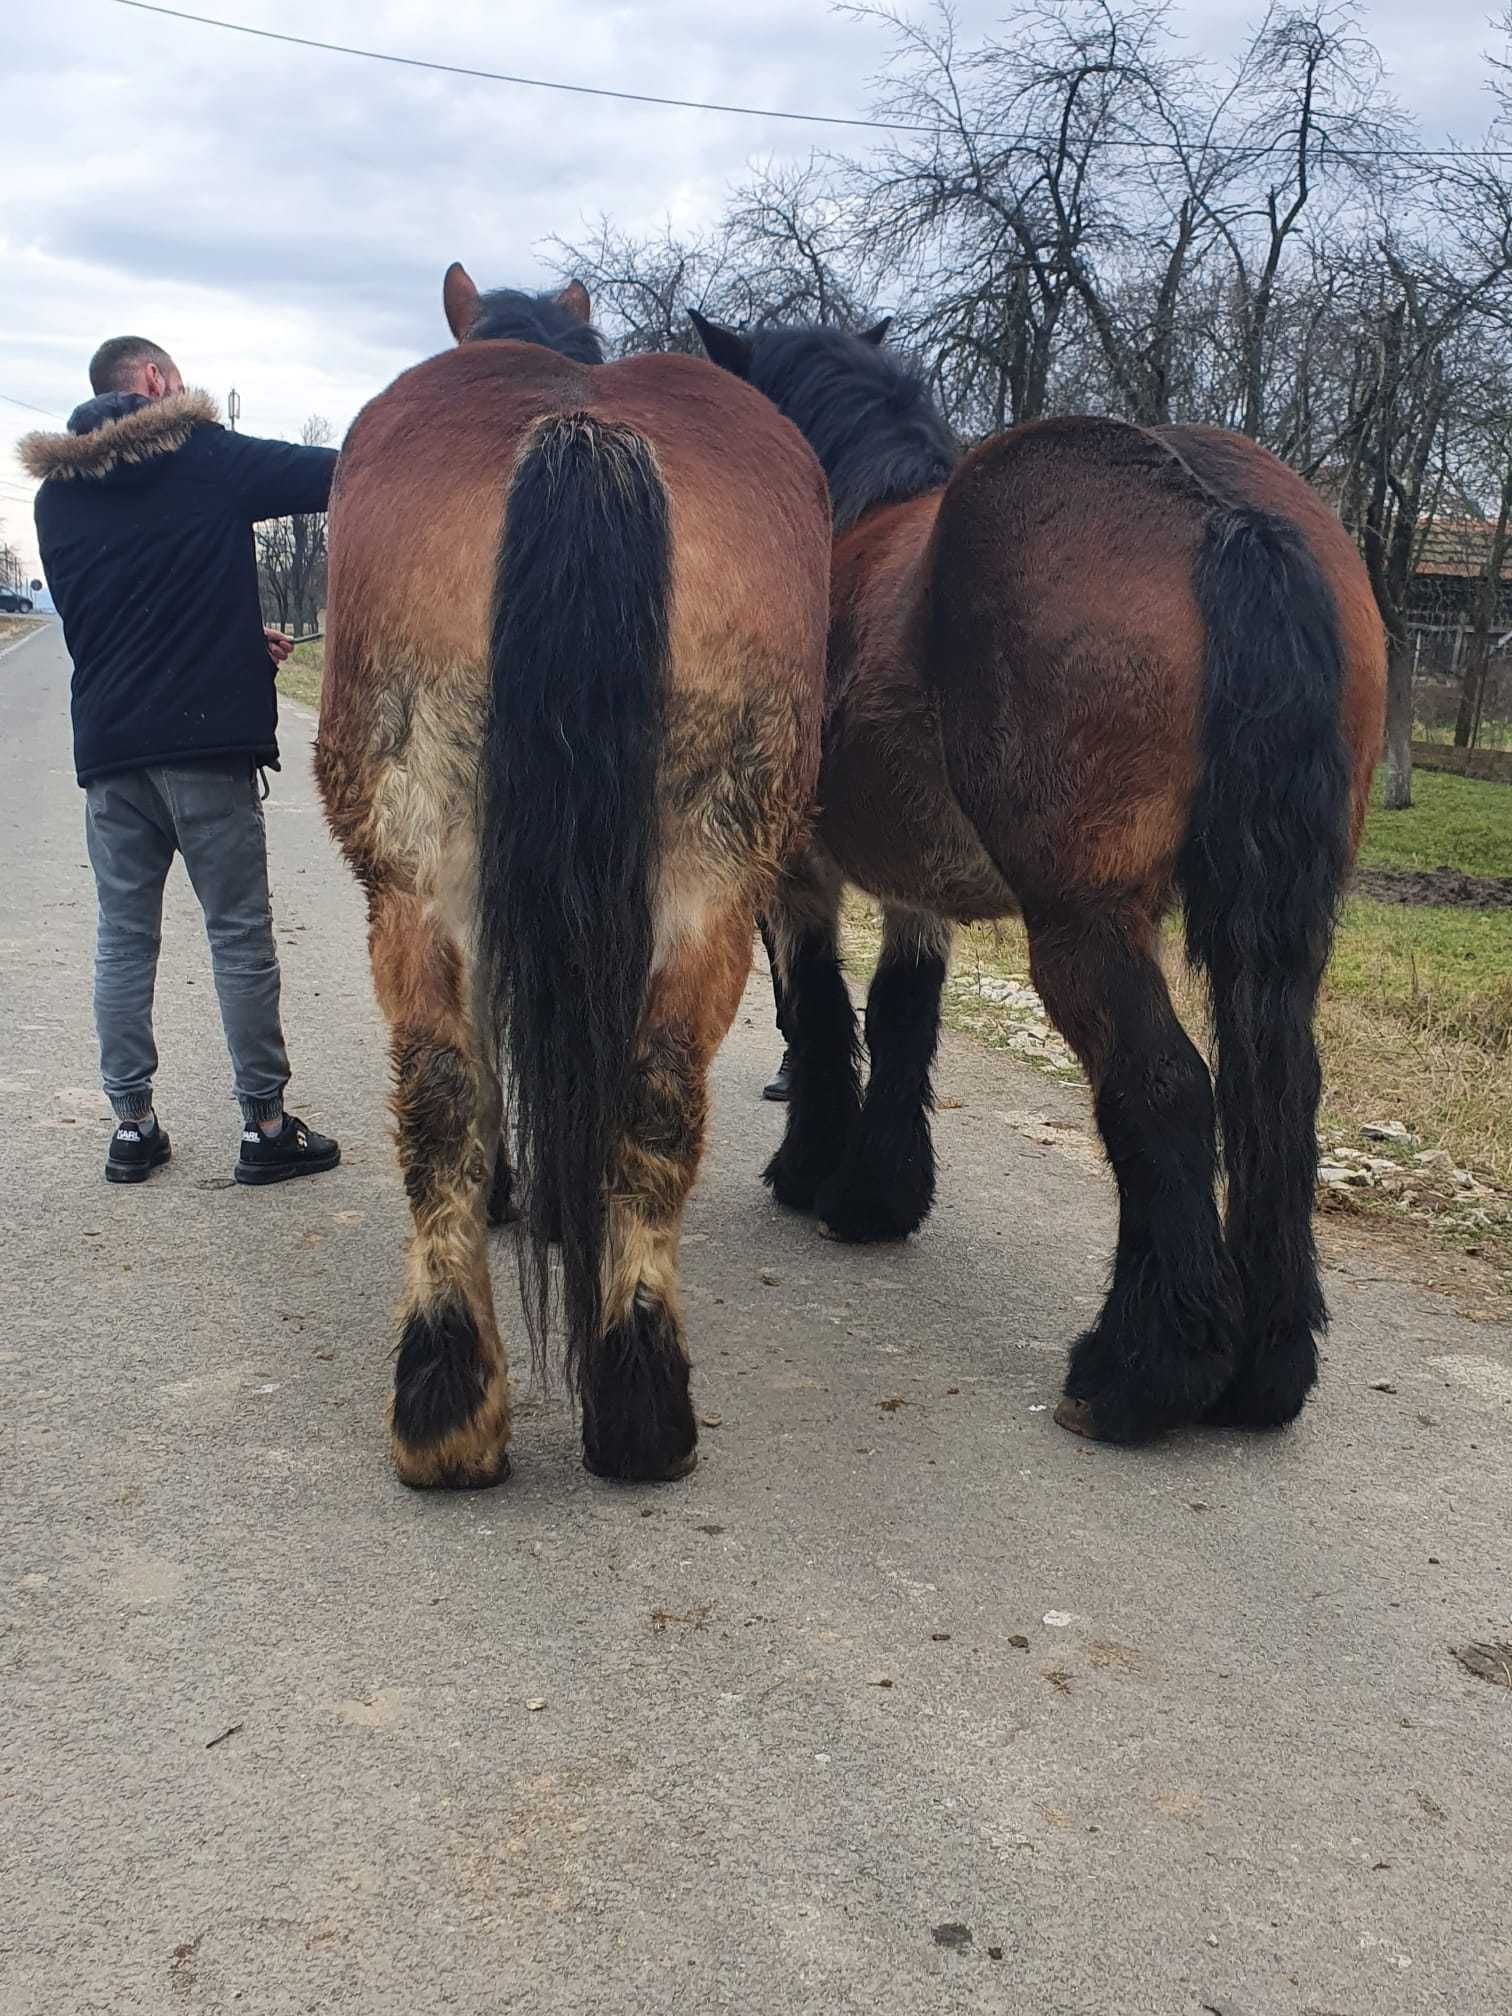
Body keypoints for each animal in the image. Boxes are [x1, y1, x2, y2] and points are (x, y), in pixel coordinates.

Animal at [316, 272, 830, 1483]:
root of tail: (582, 429)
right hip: (703, 883)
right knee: (637, 1095)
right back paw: (623, 1406)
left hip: (417, 879)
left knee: (451, 1093)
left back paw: (461, 1409)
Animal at [693, 310, 1395, 1451]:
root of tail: (1216, 508)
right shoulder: (916, 889)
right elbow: (901, 1018)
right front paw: (880, 1196)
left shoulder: (796, 876)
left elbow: (821, 1010)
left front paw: (812, 1170)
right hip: (1280, 928)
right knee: (1276, 1091)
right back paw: (1267, 1371)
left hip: (1083, 921)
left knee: (1166, 1087)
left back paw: (1139, 1371)